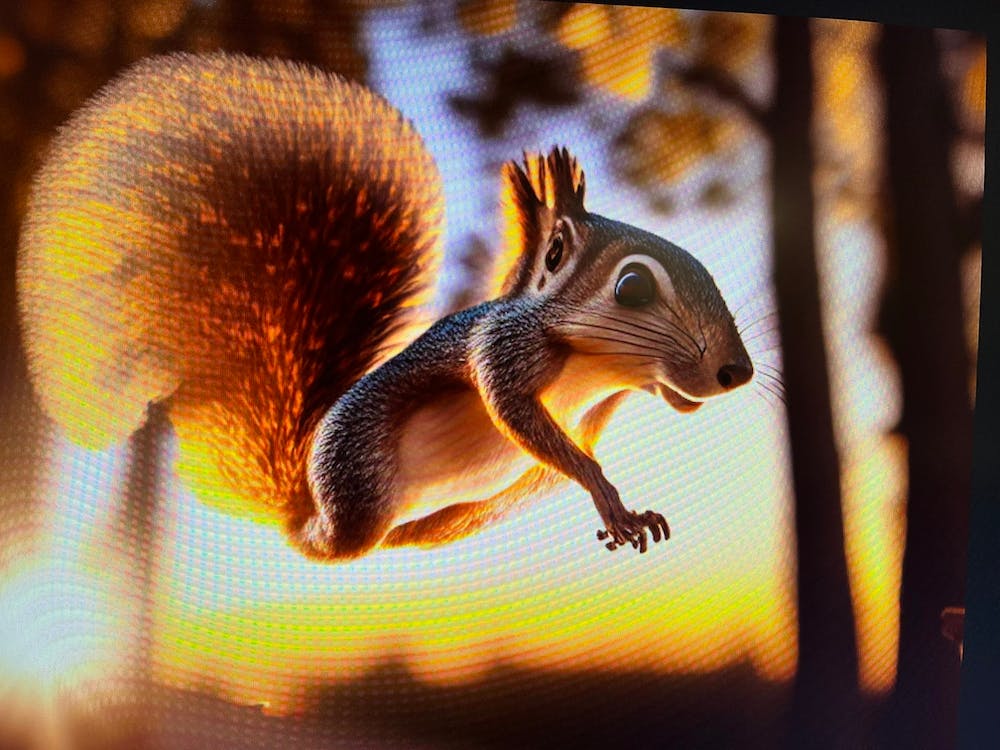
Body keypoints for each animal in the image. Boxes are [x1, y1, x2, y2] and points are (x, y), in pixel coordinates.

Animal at [17, 52, 753, 561]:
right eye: (632, 287)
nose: (735, 374)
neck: (597, 369)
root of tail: (307, 501)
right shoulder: (502, 345)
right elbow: (515, 410)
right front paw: (608, 498)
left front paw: (622, 508)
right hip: (363, 475)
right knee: (330, 545)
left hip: (465, 510)